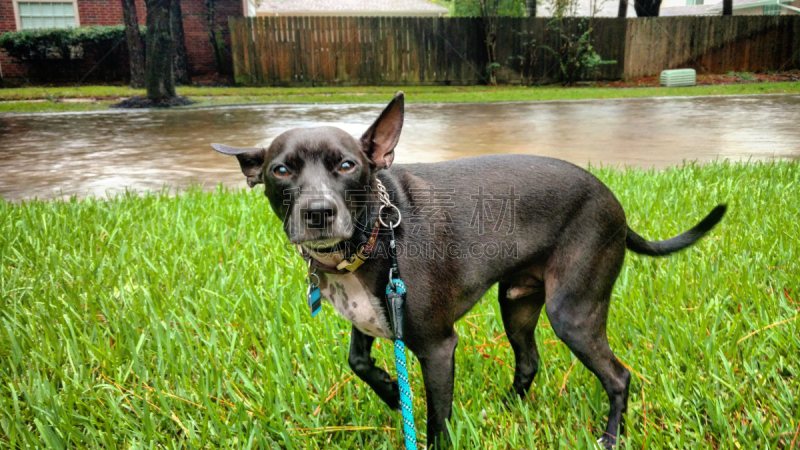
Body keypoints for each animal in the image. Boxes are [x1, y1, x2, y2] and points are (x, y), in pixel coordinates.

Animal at [211, 91, 724, 446]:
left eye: (347, 165)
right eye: (280, 170)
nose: (318, 212)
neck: (374, 236)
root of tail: (613, 202)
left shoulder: (438, 348)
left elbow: (437, 420)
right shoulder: (369, 319)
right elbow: (358, 362)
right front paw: (394, 394)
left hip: (573, 314)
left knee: (618, 377)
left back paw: (610, 436)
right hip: (517, 303)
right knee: (529, 361)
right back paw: (507, 409)